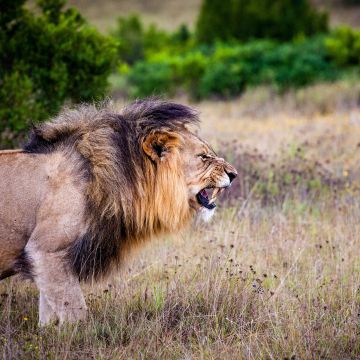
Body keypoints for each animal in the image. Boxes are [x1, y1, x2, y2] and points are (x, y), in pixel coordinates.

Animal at [0, 100, 236, 324]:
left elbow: (48, 316)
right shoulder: (45, 251)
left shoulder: (48, 261)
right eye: (203, 157)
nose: (234, 174)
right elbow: (76, 313)